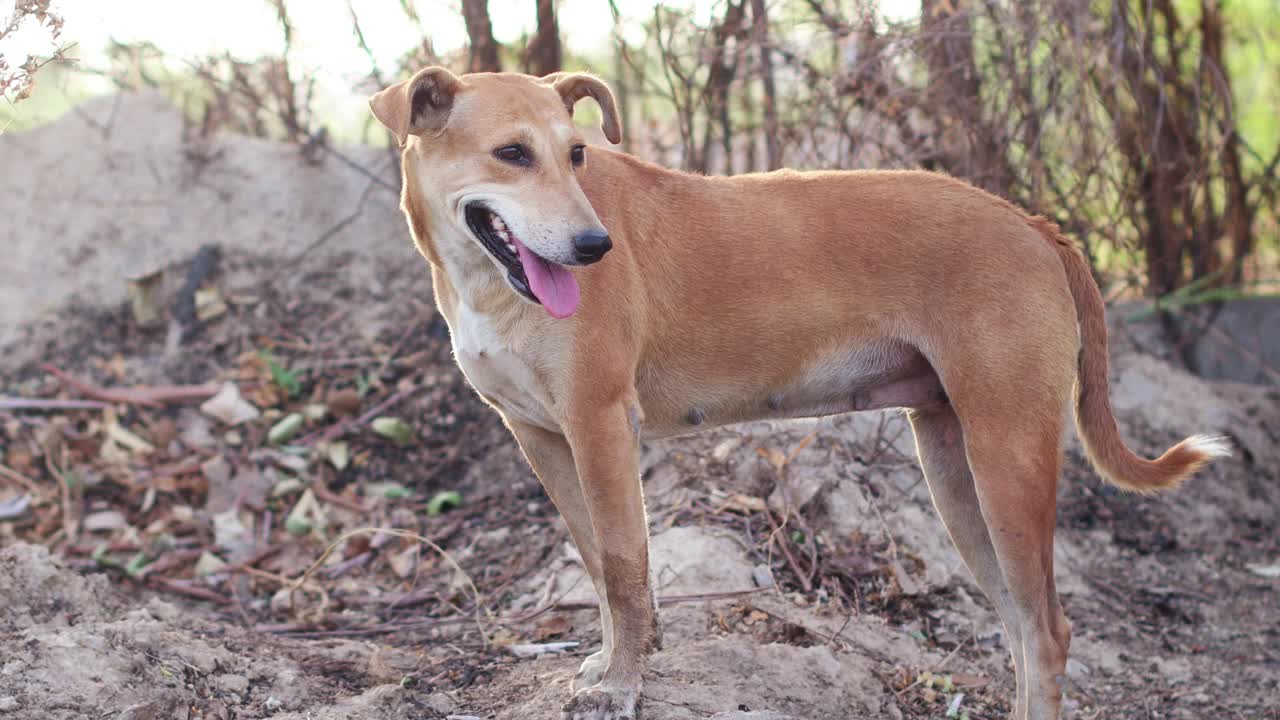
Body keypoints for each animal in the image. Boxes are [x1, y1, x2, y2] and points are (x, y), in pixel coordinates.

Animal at [371, 68, 1228, 717]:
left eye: (577, 153)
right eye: (511, 153)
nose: (593, 247)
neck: (486, 283)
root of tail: (1031, 223)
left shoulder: (601, 427)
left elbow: (622, 565)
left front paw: (622, 684)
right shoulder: (544, 439)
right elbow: (596, 561)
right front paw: (615, 658)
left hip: (1006, 461)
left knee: (1047, 632)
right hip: (957, 475)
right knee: (1021, 627)